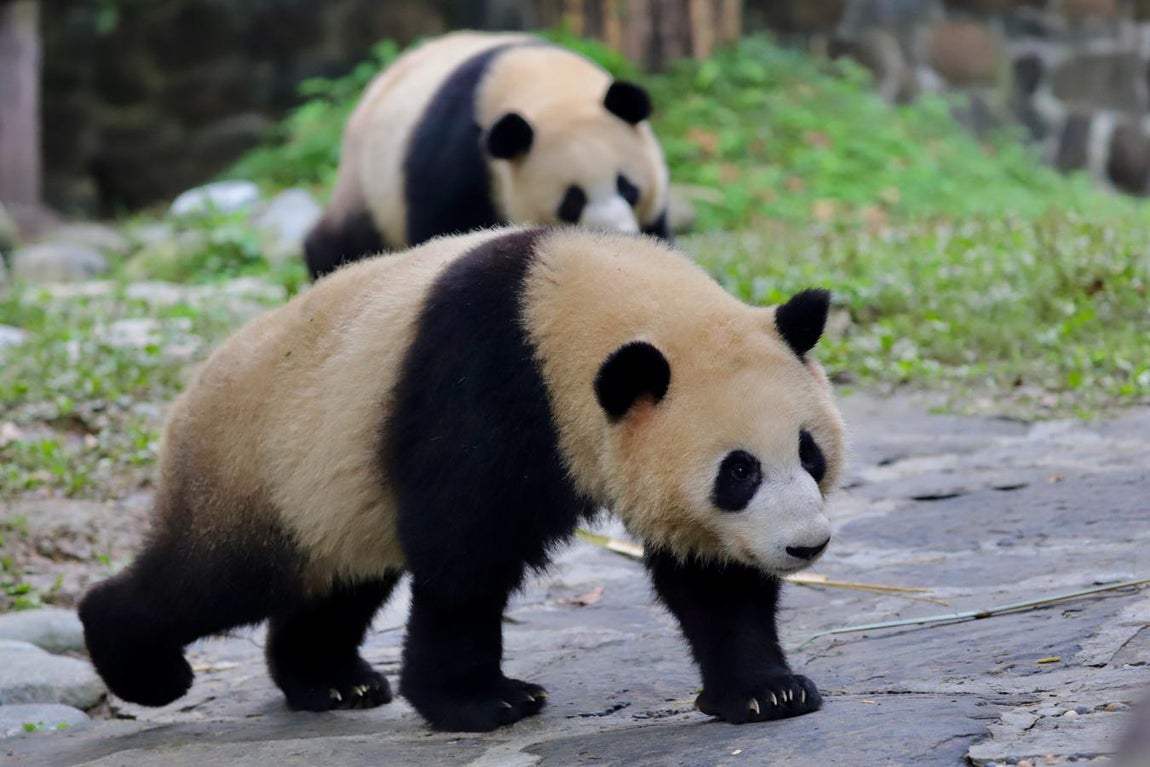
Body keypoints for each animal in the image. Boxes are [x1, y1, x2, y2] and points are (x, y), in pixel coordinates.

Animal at [78, 226, 846, 733]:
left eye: (809, 453)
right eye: (738, 471)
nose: (806, 545)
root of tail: (188, 396)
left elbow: (712, 577)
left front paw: (766, 691)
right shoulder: (484, 378)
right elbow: (467, 548)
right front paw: (482, 700)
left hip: (333, 495)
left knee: (337, 580)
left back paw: (330, 681)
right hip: (258, 463)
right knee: (218, 576)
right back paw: (141, 663)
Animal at [302, 31, 671, 280]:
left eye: (628, 187)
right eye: (571, 202)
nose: (622, 238)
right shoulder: (460, 158)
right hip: (370, 181)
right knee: (343, 240)